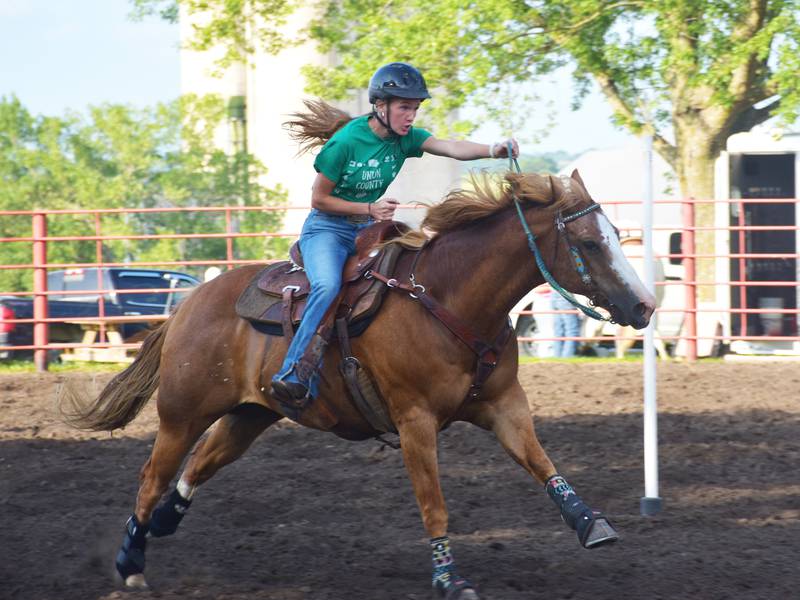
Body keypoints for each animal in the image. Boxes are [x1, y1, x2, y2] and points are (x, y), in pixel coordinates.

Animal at [61, 169, 655, 599]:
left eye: (614, 236)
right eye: (588, 242)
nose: (646, 306)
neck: (448, 297)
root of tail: (187, 304)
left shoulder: (504, 405)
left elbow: (542, 462)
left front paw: (590, 524)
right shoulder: (414, 420)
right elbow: (433, 502)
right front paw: (449, 579)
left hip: (251, 413)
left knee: (202, 463)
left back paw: (163, 523)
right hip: (181, 412)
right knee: (152, 476)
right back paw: (130, 563)